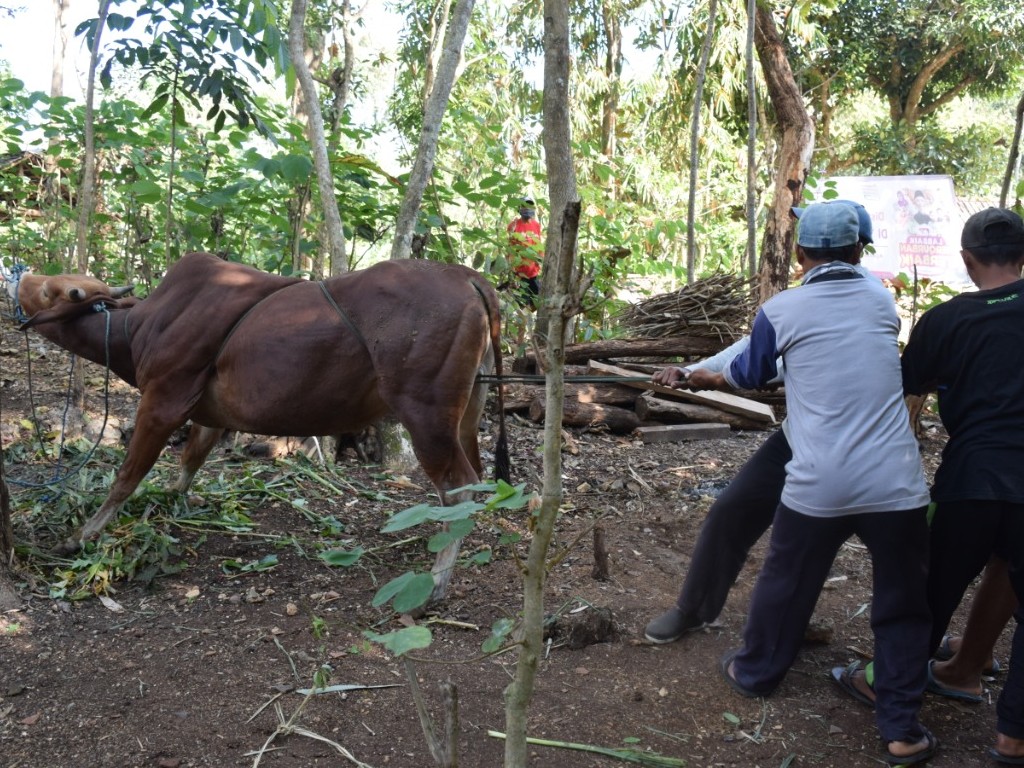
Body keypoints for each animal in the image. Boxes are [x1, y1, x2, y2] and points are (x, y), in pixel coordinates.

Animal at [14, 252, 509, 602]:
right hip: (468, 413)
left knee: (458, 488)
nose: (21, 277)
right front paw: (172, 504)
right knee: (480, 480)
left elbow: (126, 476)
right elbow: (188, 464)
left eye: (51, 292)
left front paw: (80, 536)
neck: (137, 326)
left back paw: (437, 582)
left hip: (425, 413)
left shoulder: (162, 400)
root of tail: (469, 278)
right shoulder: (208, 416)